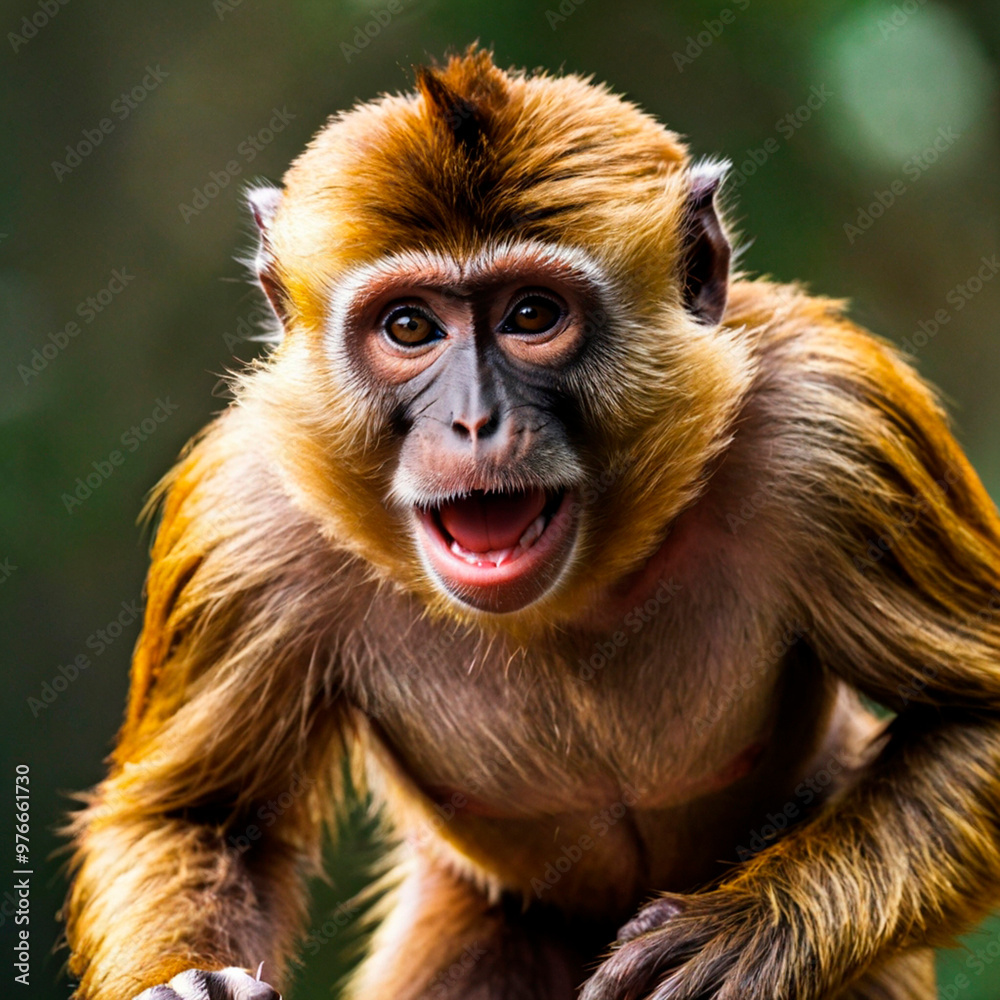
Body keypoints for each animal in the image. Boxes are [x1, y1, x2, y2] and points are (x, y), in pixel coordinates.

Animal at [64, 46, 1000, 1000]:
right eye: (410, 326)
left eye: (531, 316)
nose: (475, 422)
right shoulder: (247, 519)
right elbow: (198, 817)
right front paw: (190, 982)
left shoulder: (835, 428)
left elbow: (977, 722)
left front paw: (750, 935)